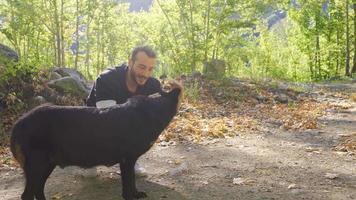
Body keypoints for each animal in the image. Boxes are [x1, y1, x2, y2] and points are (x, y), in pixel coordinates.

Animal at [10, 88, 182, 200]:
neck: (151, 111)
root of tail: (19, 122)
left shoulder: (129, 161)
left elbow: (132, 182)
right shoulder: (126, 160)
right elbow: (128, 183)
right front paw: (130, 196)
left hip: (47, 166)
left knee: (38, 190)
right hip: (37, 167)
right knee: (27, 195)